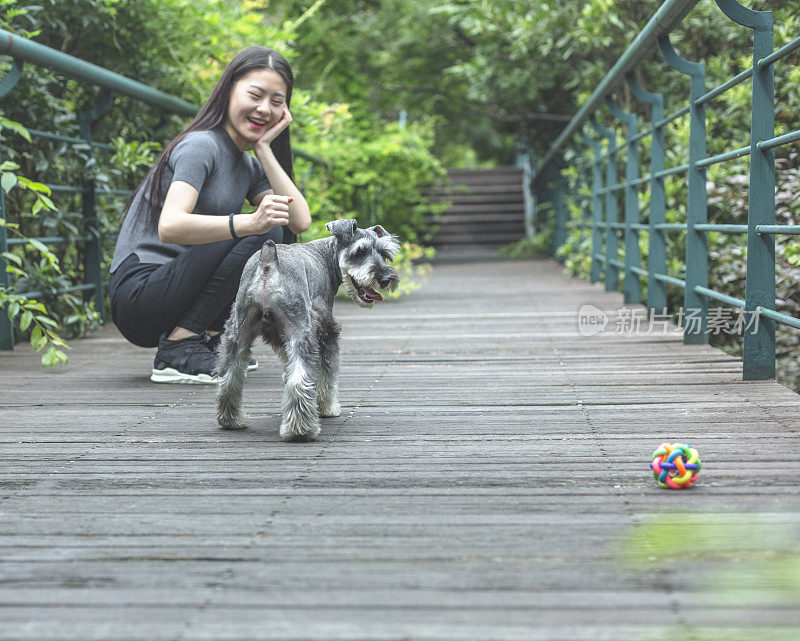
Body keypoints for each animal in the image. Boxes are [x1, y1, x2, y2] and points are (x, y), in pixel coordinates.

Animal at [214, 219, 398, 440]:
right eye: (360, 252)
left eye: (385, 254)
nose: (385, 280)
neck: (326, 256)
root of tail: (268, 264)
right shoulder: (326, 331)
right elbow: (328, 374)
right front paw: (328, 407)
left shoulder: (280, 336)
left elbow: (287, 363)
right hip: (301, 331)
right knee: (299, 380)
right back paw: (300, 430)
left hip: (238, 331)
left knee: (229, 377)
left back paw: (232, 420)